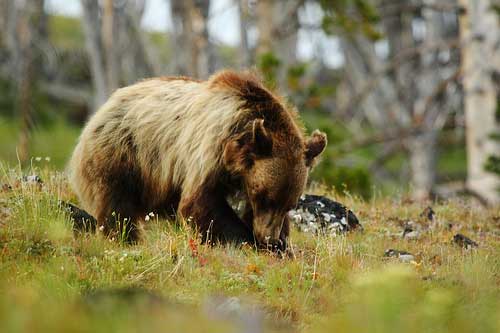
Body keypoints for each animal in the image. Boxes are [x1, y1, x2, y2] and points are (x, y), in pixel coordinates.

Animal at [69, 69, 328, 249]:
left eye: (290, 204)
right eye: (265, 197)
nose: (268, 238)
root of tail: (107, 103)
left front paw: (283, 245)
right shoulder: (210, 147)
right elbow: (201, 202)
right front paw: (246, 240)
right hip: (123, 152)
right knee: (117, 205)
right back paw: (126, 238)